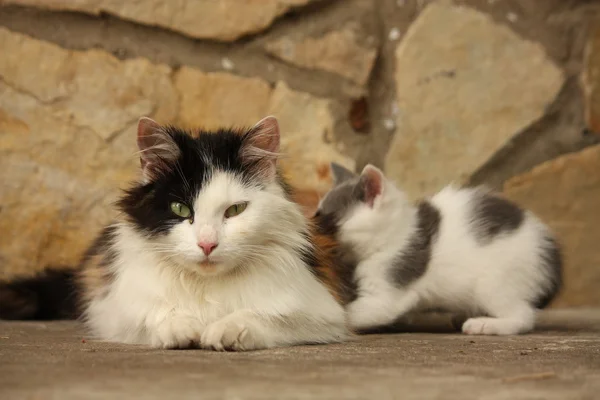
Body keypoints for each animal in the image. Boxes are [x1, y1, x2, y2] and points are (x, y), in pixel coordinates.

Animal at [0, 115, 346, 350]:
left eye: (235, 210)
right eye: (181, 209)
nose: (207, 244)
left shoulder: (321, 312)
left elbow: (264, 316)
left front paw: (228, 330)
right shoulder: (113, 309)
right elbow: (157, 313)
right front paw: (183, 329)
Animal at [314, 162, 564, 334]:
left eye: (327, 220)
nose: (312, 224)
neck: (394, 235)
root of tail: (552, 258)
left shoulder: (391, 284)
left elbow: (355, 312)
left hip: (496, 281)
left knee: (523, 317)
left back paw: (487, 325)